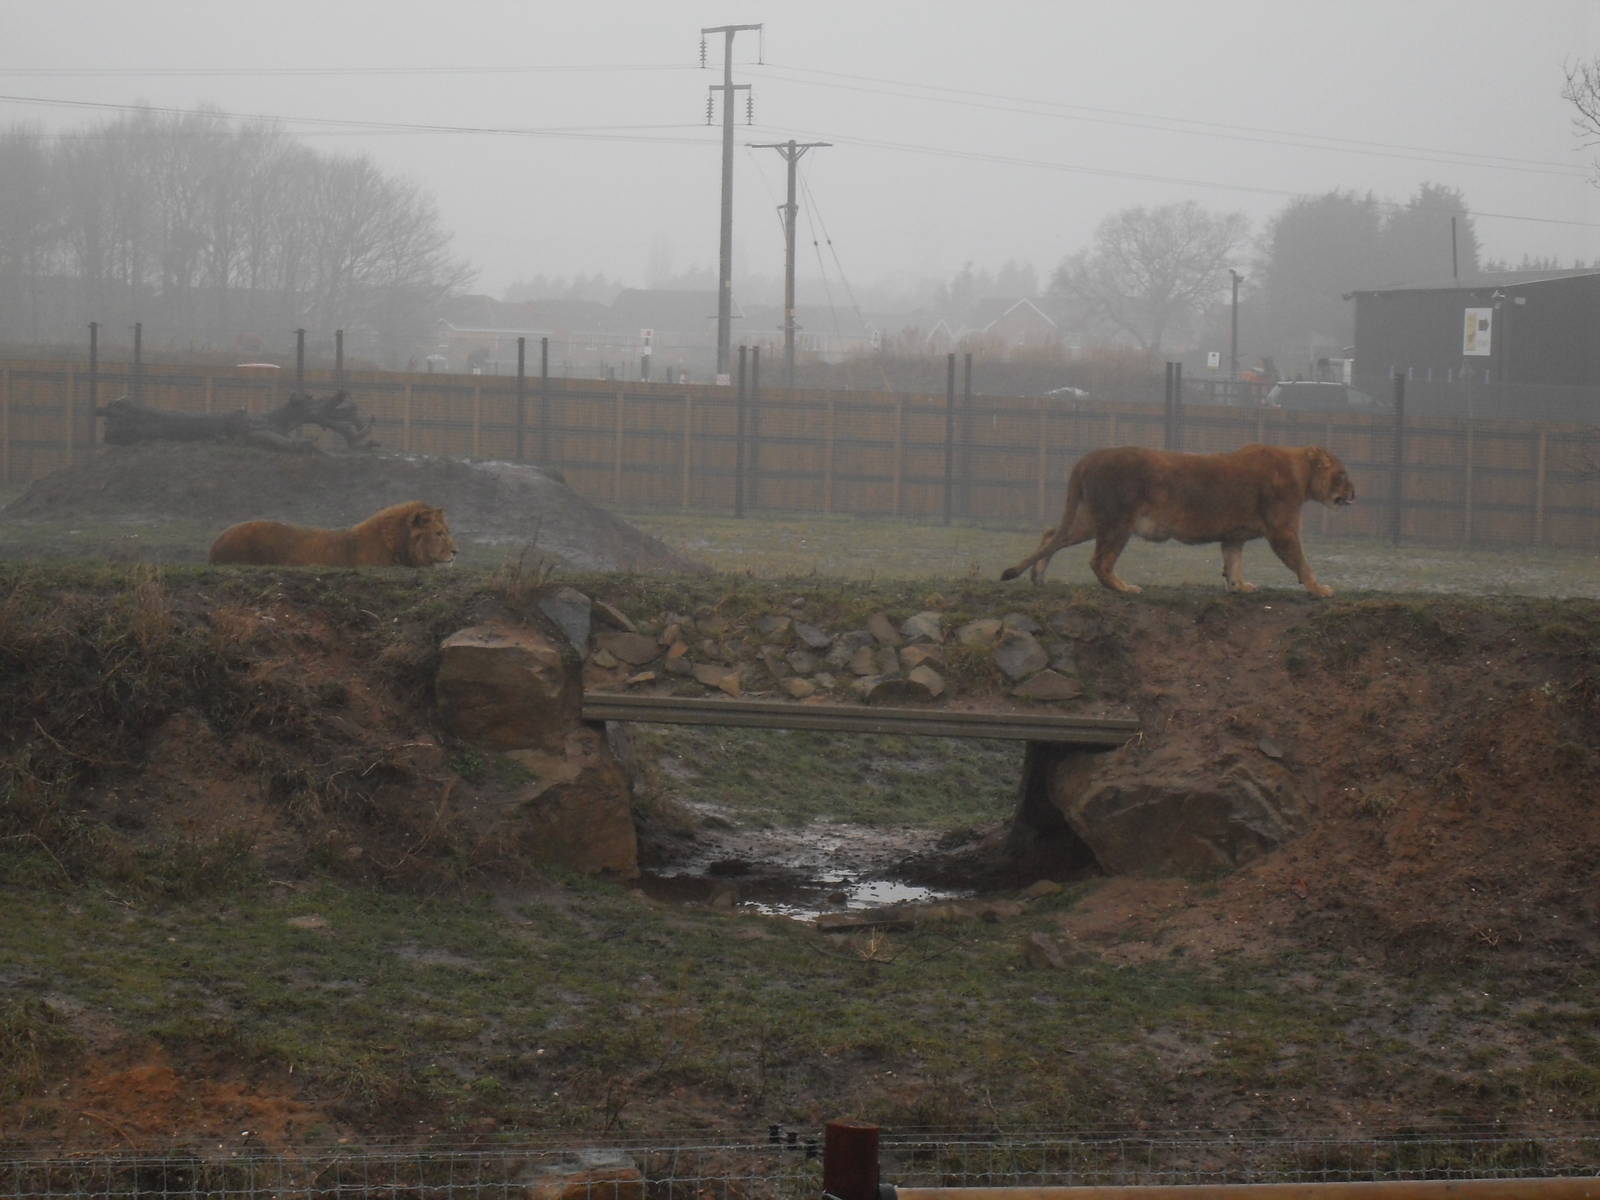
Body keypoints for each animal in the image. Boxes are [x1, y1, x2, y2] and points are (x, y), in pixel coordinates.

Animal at [1000, 443, 1355, 597]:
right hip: (1117, 522)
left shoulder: (1233, 535)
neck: (1300, 472)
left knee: (1051, 535)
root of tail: (1087, 459)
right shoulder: (1282, 531)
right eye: (1342, 474)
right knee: (1098, 562)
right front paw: (1320, 589)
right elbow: (1301, 563)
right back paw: (1124, 587)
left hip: (1090, 519)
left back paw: (1038, 576)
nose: (1354, 492)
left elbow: (1233, 562)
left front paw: (1240, 586)